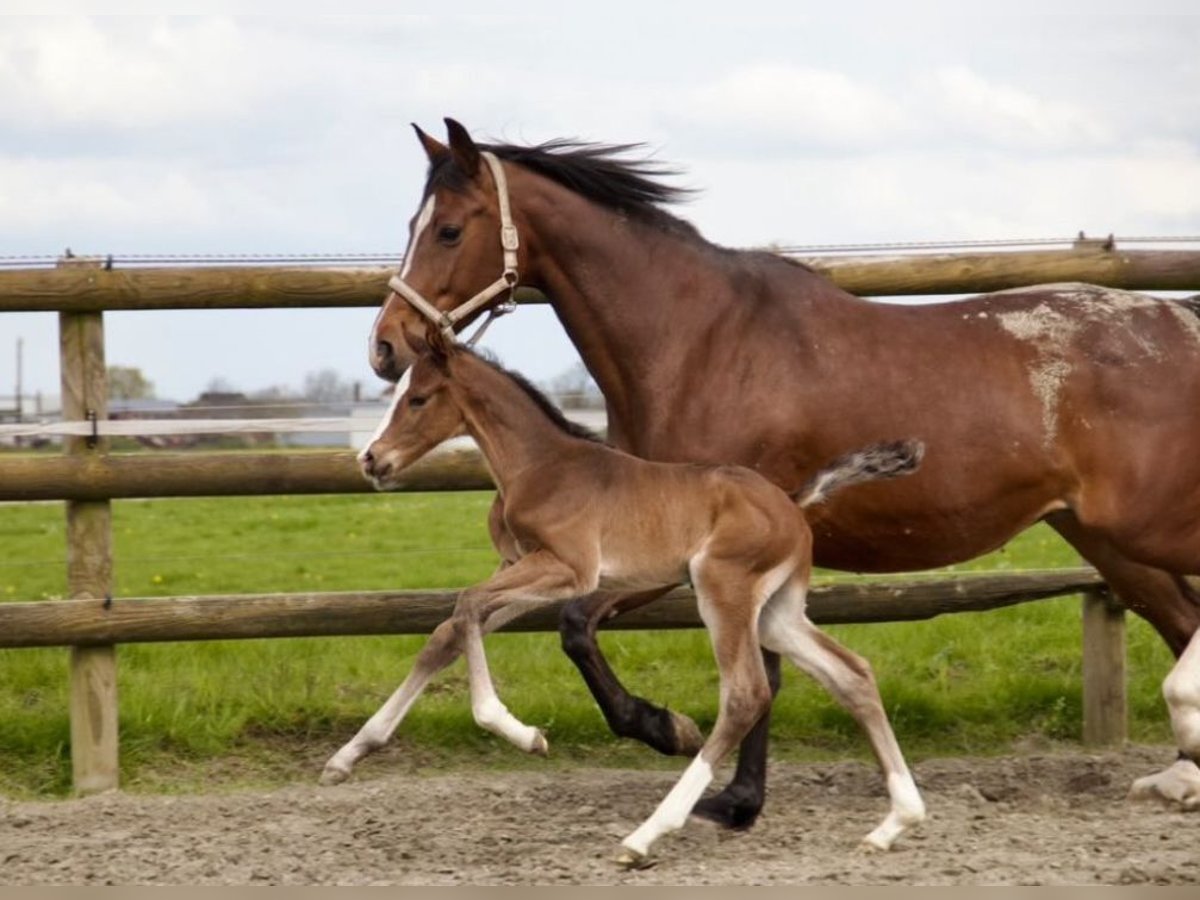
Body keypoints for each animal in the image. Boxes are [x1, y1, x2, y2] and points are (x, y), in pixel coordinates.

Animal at [324, 328, 921, 868]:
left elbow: (467, 605)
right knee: (852, 673)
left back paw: (646, 835)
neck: (541, 466)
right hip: (776, 612)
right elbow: (447, 632)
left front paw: (520, 733)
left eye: (418, 398)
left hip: (722, 589)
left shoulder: (569, 569)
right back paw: (895, 824)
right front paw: (349, 755)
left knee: (746, 693)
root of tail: (793, 503)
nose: (370, 459)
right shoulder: (524, 569)